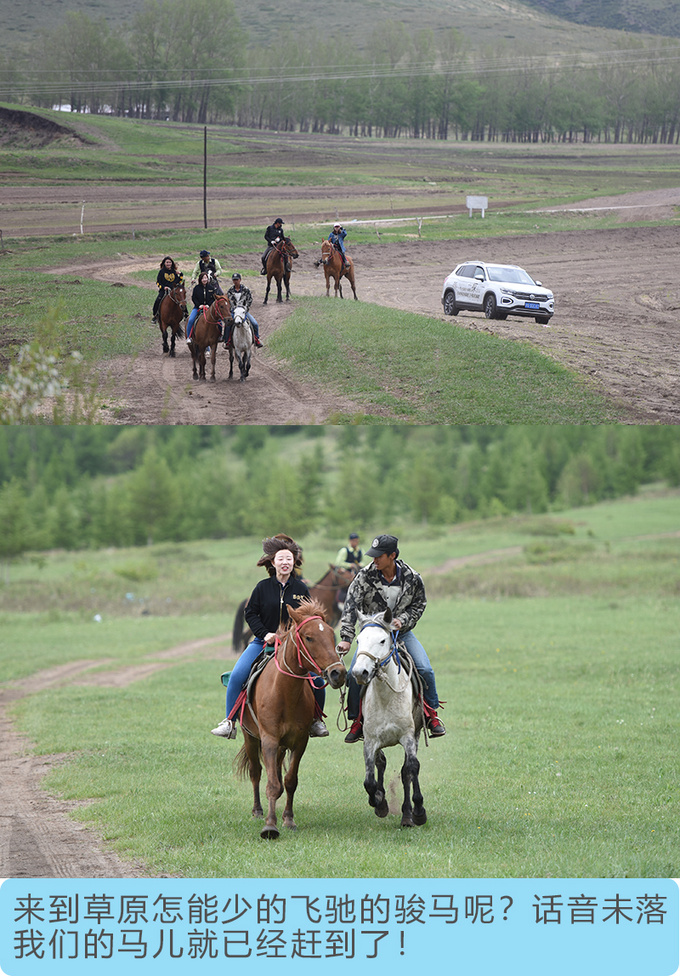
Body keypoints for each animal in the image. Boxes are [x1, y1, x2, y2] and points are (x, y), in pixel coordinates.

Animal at [235, 596, 350, 840]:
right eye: (309, 637)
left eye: (331, 635)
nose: (338, 673)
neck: (284, 693)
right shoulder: (269, 740)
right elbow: (270, 782)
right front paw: (270, 826)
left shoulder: (299, 742)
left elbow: (289, 781)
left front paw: (288, 819)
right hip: (251, 738)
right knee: (256, 772)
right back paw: (258, 810)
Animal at [350, 608, 424, 824]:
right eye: (358, 640)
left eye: (382, 640)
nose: (360, 672)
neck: (386, 698)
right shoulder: (370, 741)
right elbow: (369, 779)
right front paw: (379, 803)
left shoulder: (408, 736)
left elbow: (411, 768)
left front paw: (418, 811)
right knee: (381, 764)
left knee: (406, 770)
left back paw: (408, 814)